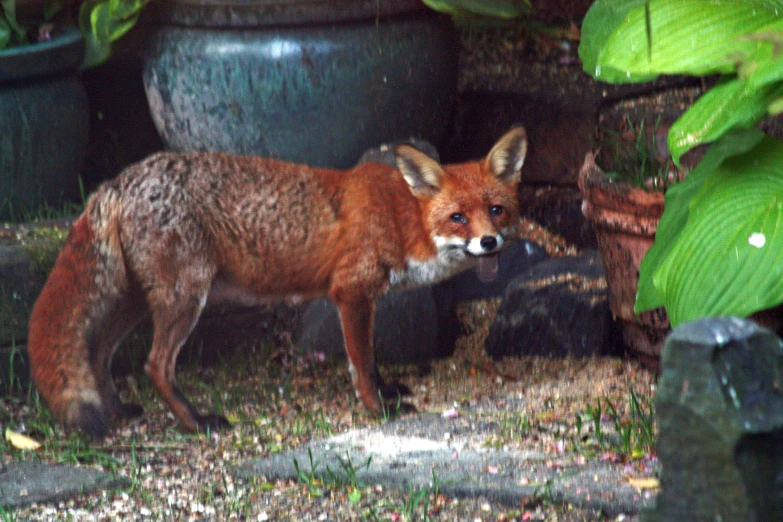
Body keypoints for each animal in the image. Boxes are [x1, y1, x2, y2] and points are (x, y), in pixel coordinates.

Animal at [26, 127, 528, 438]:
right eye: (458, 217)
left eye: (497, 210)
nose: (489, 242)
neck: (402, 218)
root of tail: (119, 180)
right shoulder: (351, 292)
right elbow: (362, 364)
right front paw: (377, 409)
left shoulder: (364, 299)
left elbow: (372, 361)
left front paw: (387, 392)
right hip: (185, 298)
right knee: (155, 365)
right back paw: (195, 422)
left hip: (139, 300)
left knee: (97, 351)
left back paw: (117, 411)